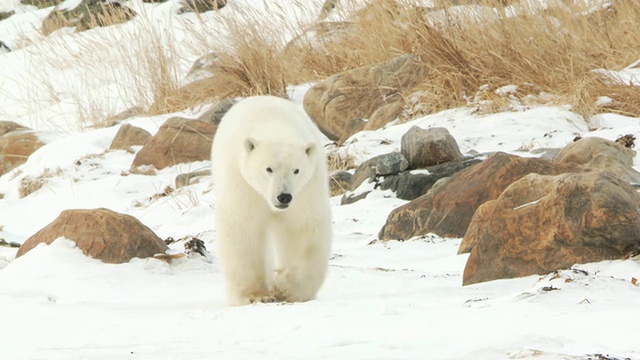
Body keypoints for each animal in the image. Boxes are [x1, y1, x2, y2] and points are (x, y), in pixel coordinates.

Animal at [211, 94, 332, 306]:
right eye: (269, 169)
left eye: (296, 170)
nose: (283, 196)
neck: (274, 123)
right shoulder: (243, 183)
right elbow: (243, 227)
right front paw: (255, 295)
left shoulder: (306, 188)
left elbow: (302, 228)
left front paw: (288, 289)